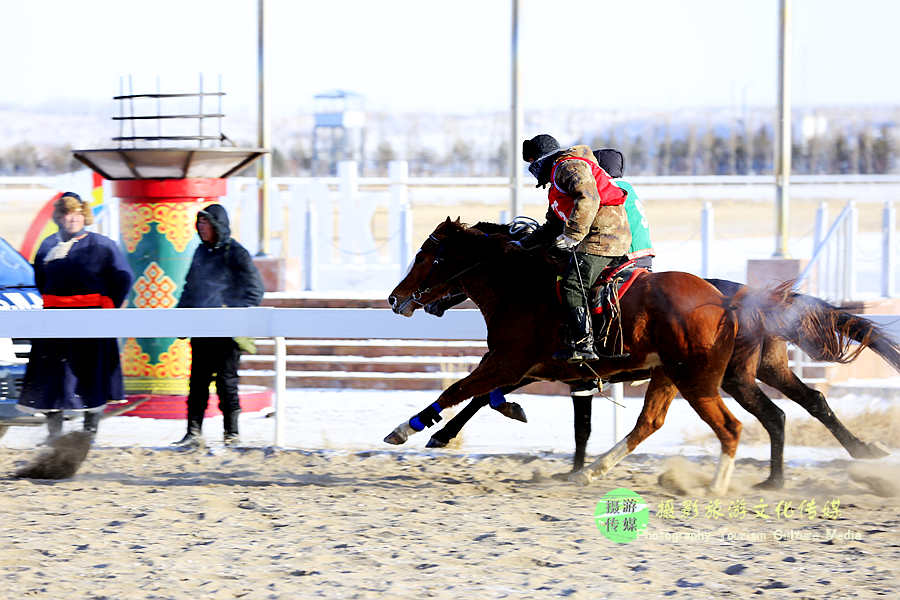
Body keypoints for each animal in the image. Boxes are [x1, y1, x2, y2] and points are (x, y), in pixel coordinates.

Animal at [386, 218, 744, 494]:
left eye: (424, 256)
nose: (394, 299)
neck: (519, 286)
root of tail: (721, 301)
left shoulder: (507, 363)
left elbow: (458, 390)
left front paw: (408, 428)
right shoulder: (527, 366)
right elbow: (480, 396)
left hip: (696, 380)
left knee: (729, 427)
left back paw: (715, 487)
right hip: (667, 373)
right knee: (649, 423)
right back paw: (588, 472)